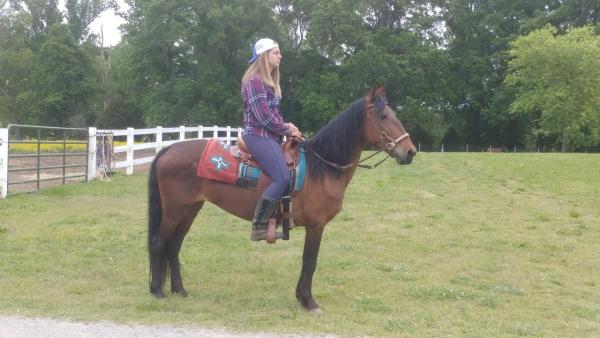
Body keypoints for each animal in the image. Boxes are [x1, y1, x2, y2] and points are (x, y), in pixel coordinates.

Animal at [147, 84, 418, 312]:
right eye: (383, 117)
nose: (410, 151)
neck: (322, 167)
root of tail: (168, 149)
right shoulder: (316, 225)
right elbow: (310, 260)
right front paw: (308, 301)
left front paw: (302, 297)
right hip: (174, 209)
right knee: (159, 243)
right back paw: (157, 291)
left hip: (190, 208)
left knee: (174, 245)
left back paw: (180, 290)